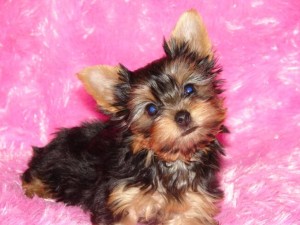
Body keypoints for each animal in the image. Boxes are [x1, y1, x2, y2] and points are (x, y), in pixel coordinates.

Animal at [21, 9, 227, 225]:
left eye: (189, 89)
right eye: (151, 109)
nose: (182, 116)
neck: (172, 161)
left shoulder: (193, 204)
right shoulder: (120, 199)